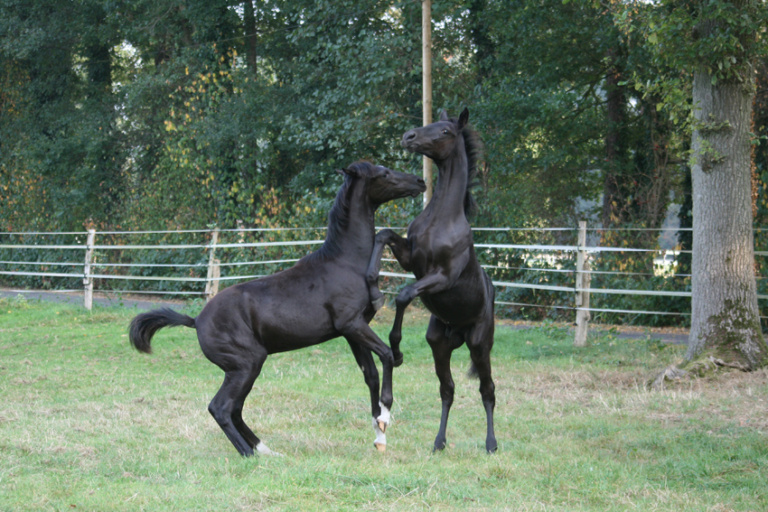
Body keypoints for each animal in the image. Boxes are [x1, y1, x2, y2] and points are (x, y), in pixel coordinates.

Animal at [128, 161, 424, 456]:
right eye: (383, 173)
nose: (419, 181)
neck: (345, 262)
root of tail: (196, 320)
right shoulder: (352, 324)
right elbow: (388, 355)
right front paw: (385, 415)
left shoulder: (352, 332)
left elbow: (370, 375)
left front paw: (379, 433)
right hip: (247, 365)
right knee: (221, 408)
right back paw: (249, 454)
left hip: (241, 370)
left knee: (235, 409)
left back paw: (265, 450)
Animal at [368, 110, 498, 454]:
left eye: (445, 131)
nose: (408, 137)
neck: (443, 219)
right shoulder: (411, 260)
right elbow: (383, 233)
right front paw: (371, 281)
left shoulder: (441, 277)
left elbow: (403, 295)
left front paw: (397, 350)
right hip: (439, 345)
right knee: (447, 389)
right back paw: (439, 442)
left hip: (480, 345)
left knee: (488, 390)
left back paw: (491, 443)